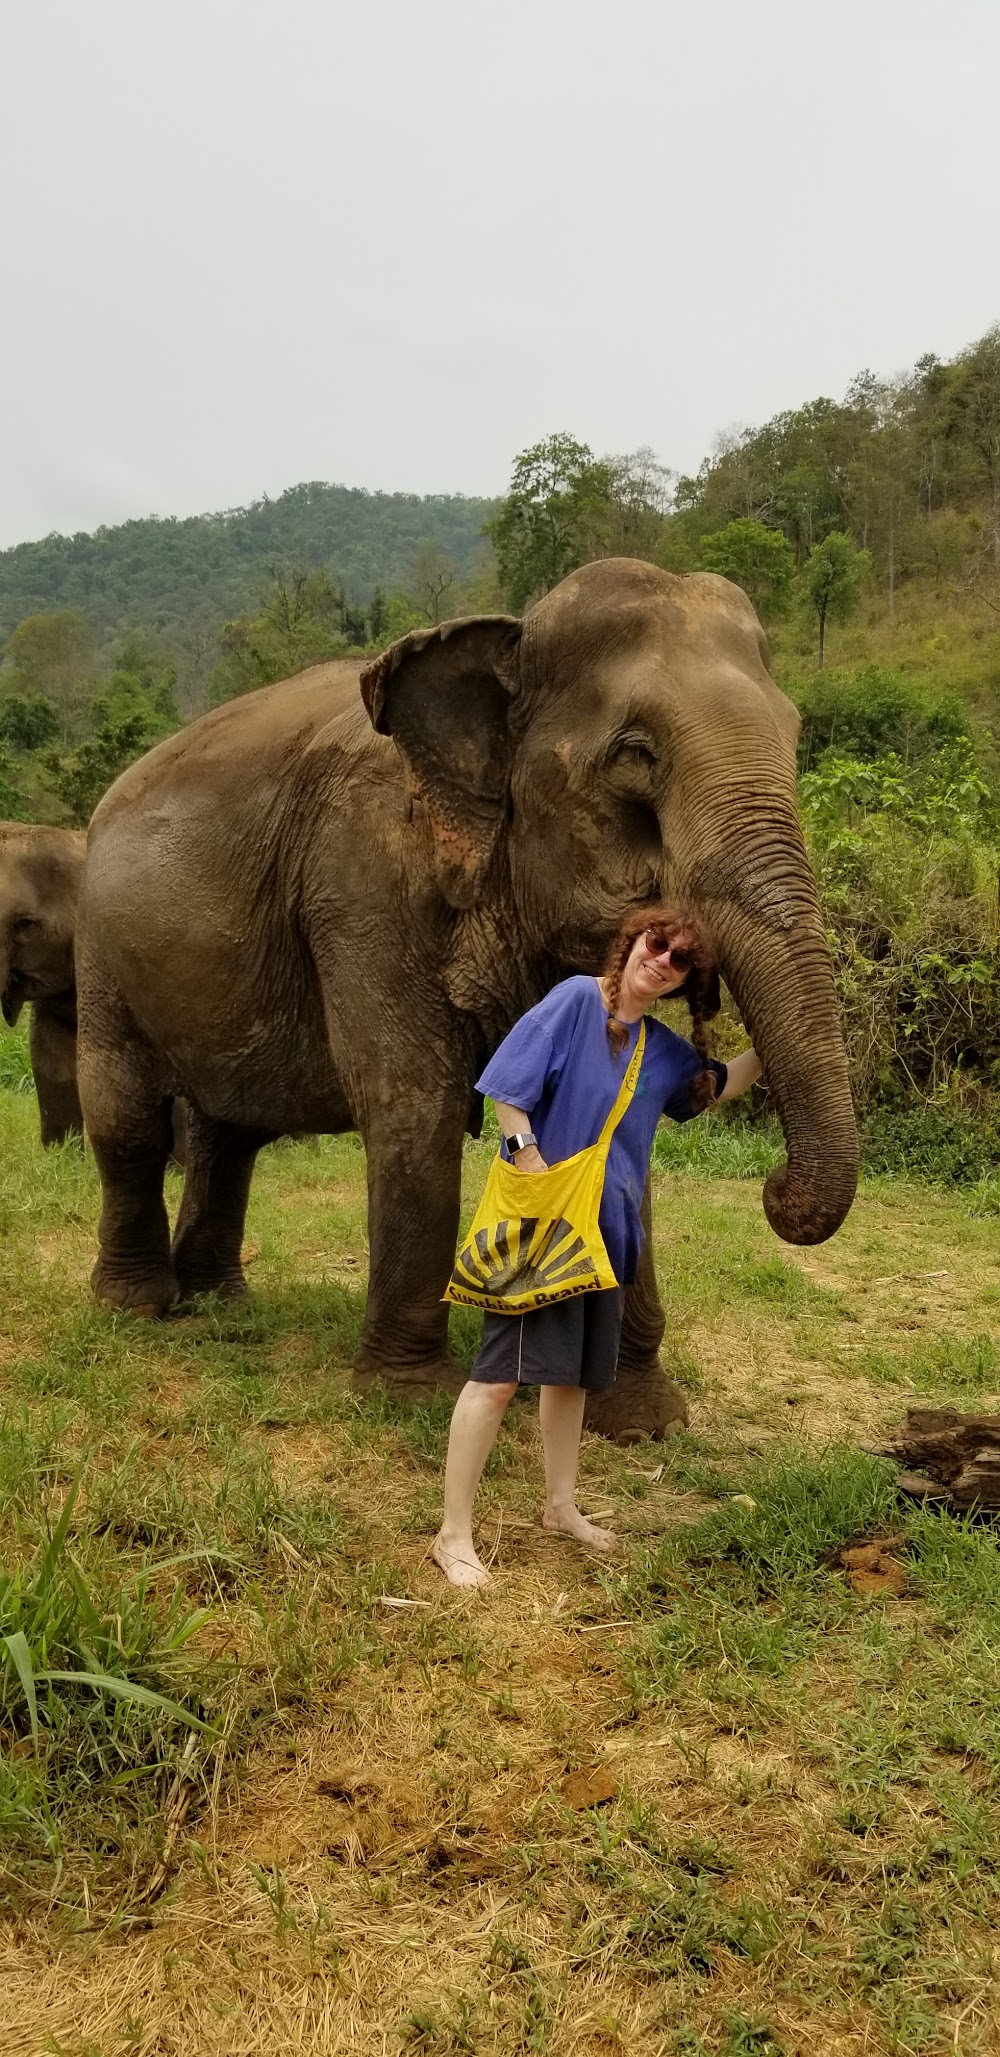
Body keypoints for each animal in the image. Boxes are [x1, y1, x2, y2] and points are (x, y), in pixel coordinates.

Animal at [78, 555, 860, 1439]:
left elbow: (606, 1117)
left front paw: (643, 1421)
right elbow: (414, 1098)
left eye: (794, 733)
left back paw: (223, 1304)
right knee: (130, 1120)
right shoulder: (358, 882)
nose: (777, 1189)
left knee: (229, 1131)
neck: (512, 631)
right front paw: (409, 1397)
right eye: (636, 754)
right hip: (100, 951)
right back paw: (137, 1306)